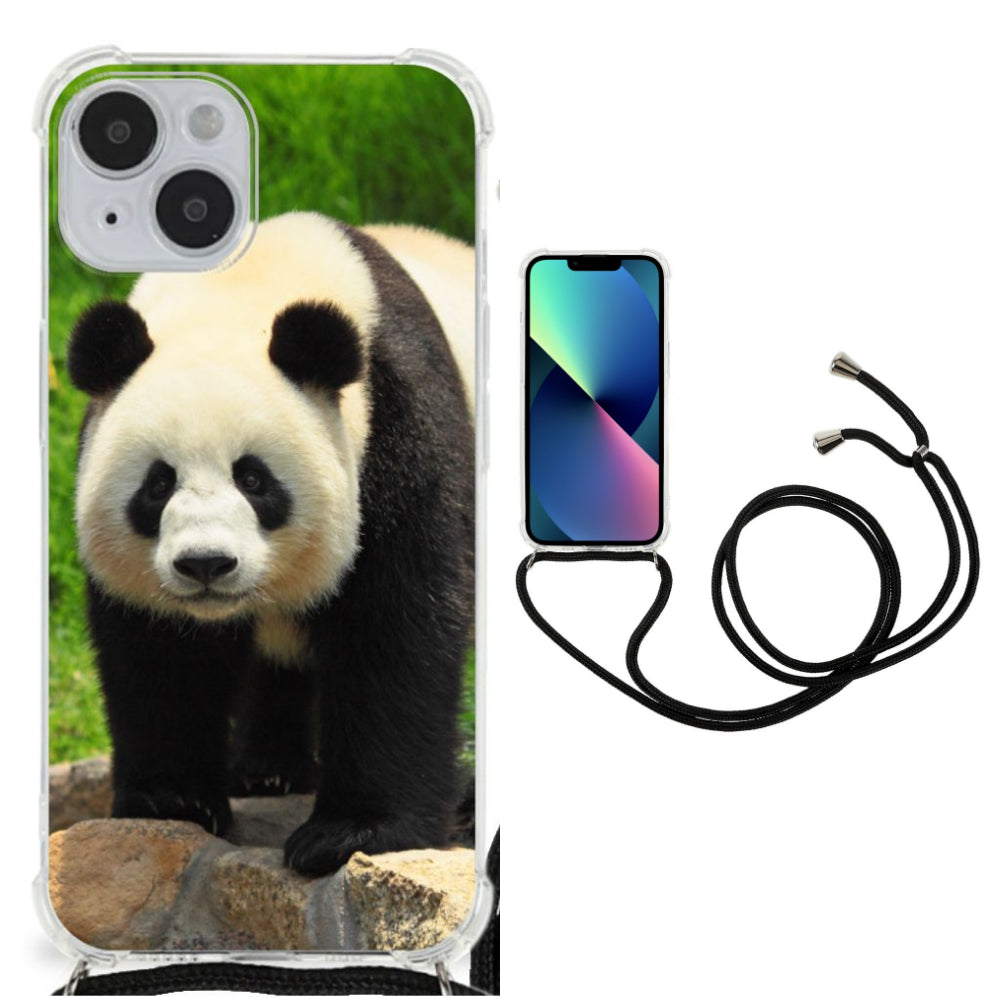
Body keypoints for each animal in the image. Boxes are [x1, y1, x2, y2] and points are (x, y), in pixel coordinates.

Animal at [66, 212, 476, 877]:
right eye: (158, 484)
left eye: (254, 479)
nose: (205, 564)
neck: (240, 290)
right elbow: (161, 651)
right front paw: (172, 800)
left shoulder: (399, 427)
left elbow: (397, 627)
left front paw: (351, 832)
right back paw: (267, 771)